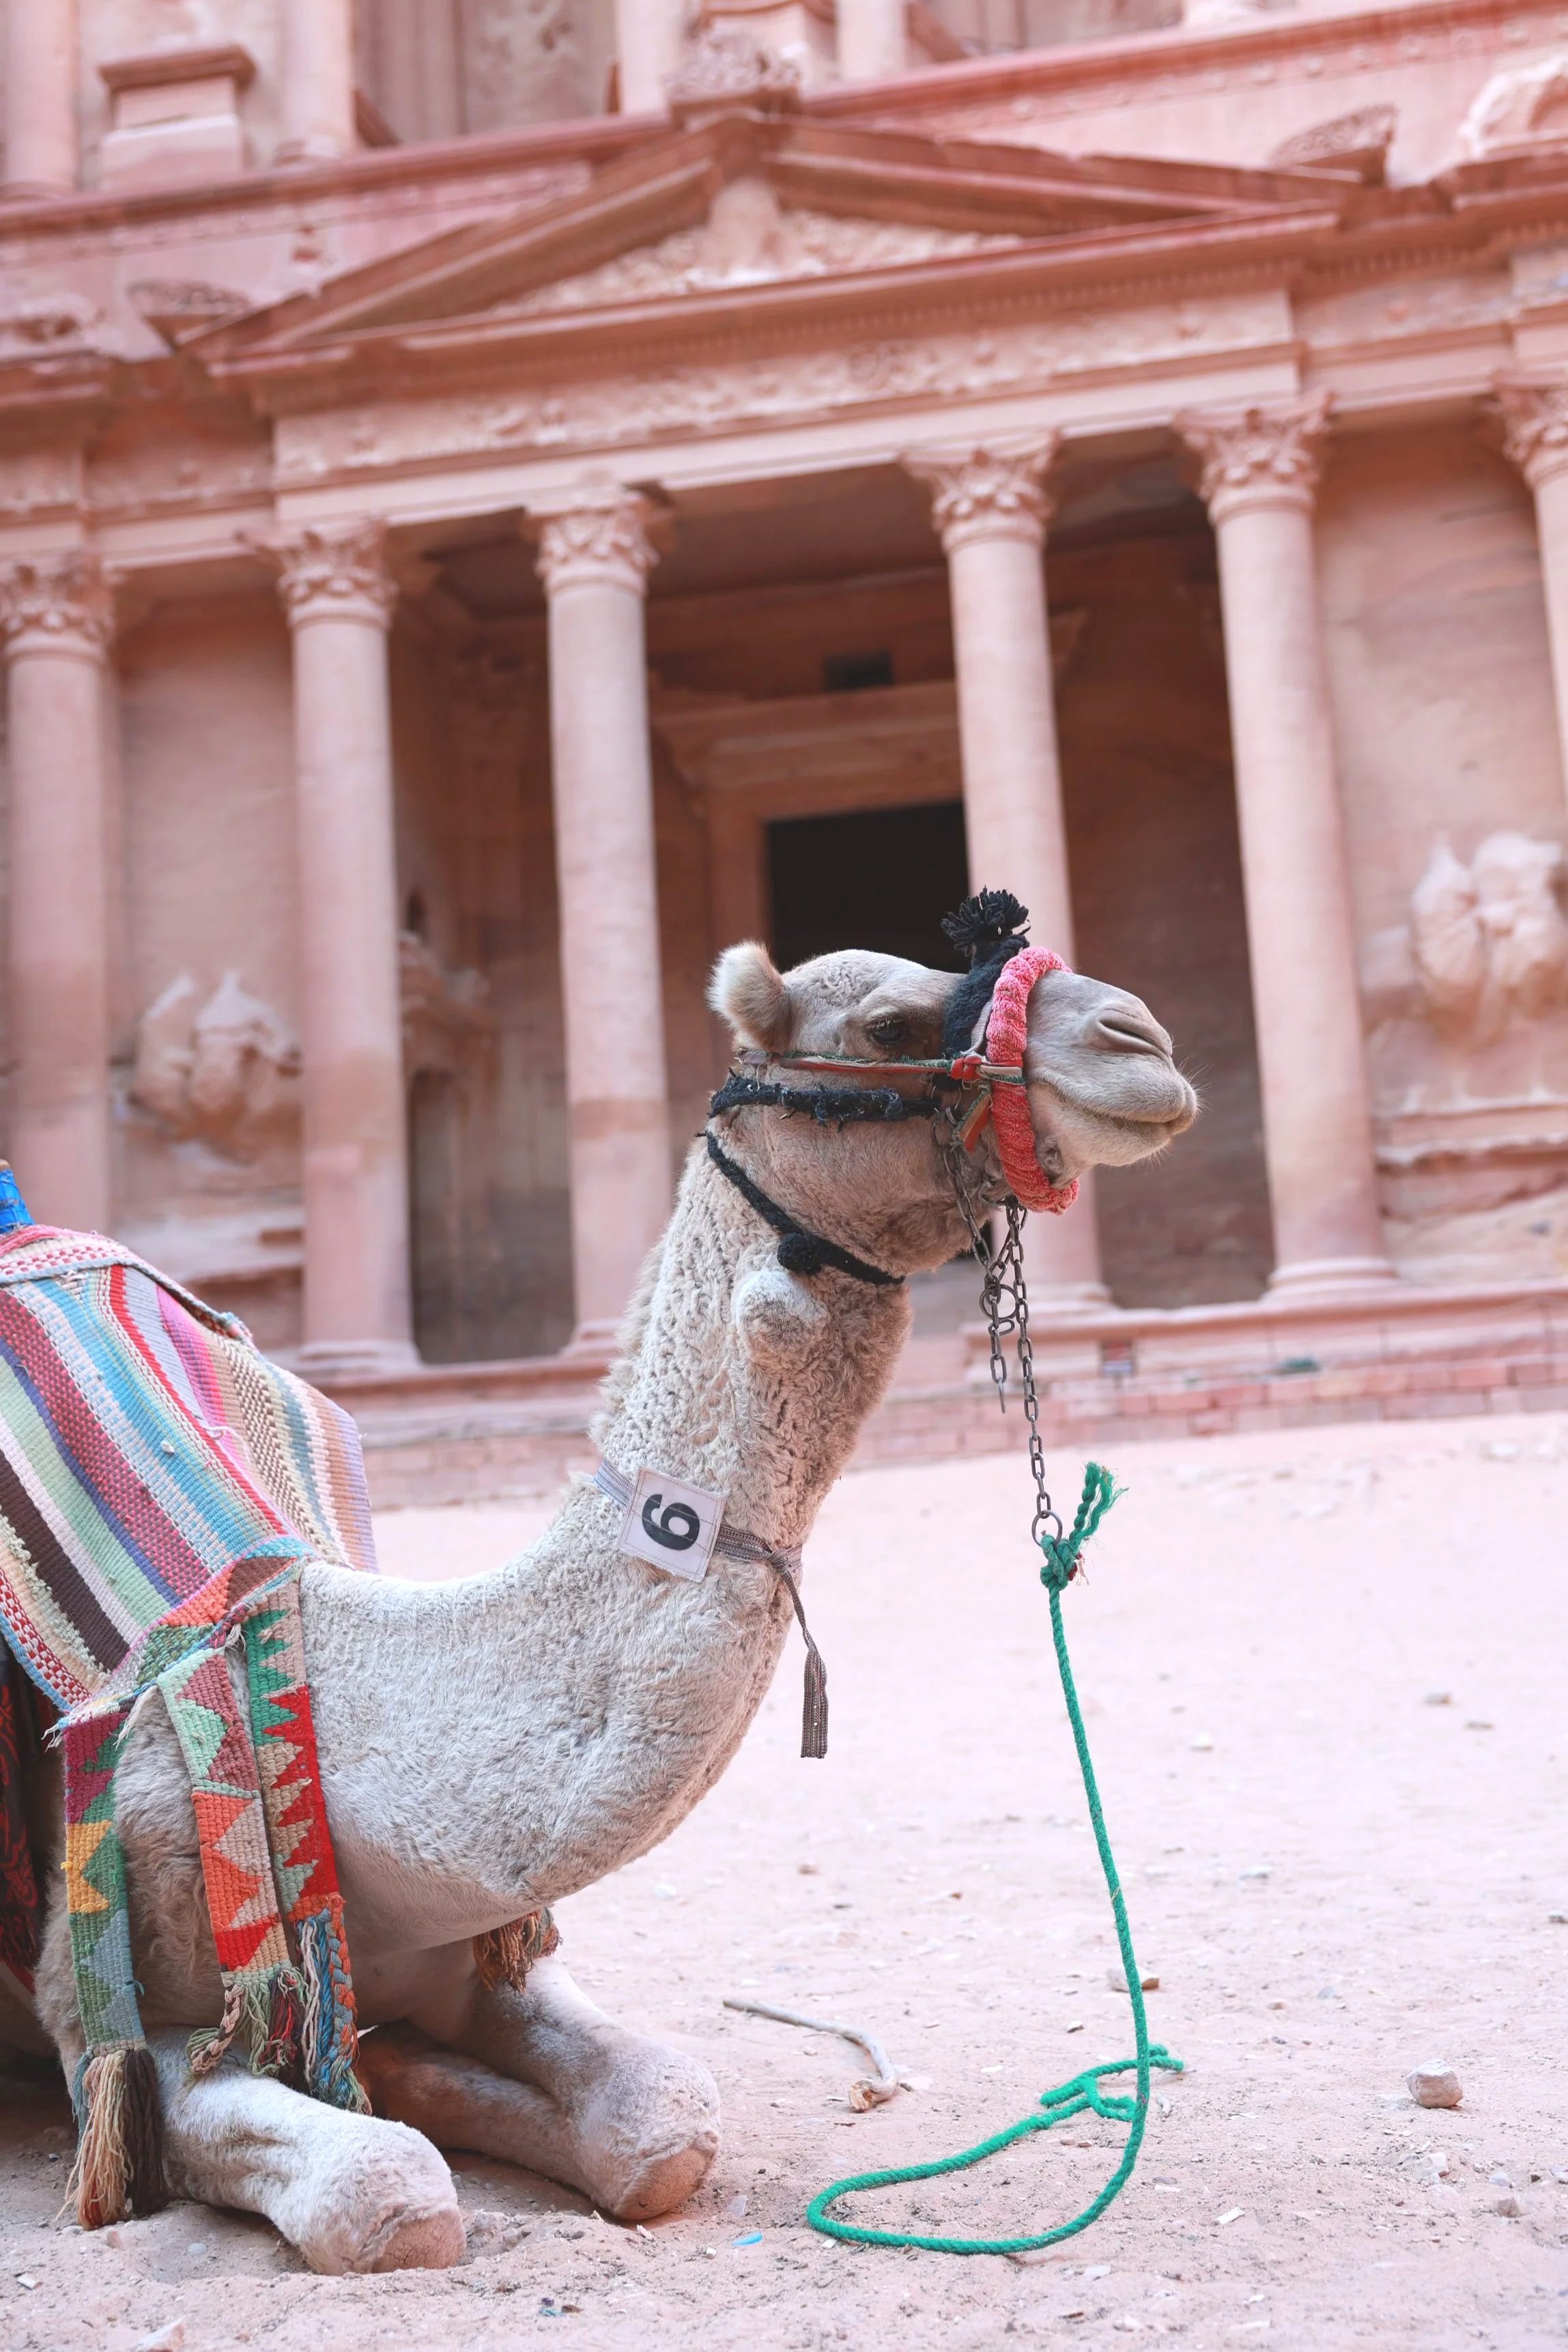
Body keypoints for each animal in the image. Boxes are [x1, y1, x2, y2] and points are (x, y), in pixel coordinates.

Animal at [13, 918, 1195, 2274]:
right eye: (890, 1024)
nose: (1137, 1040)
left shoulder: (477, 1945)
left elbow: (659, 2127)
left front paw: (424, 2078)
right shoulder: (113, 2017)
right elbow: (384, 2194)